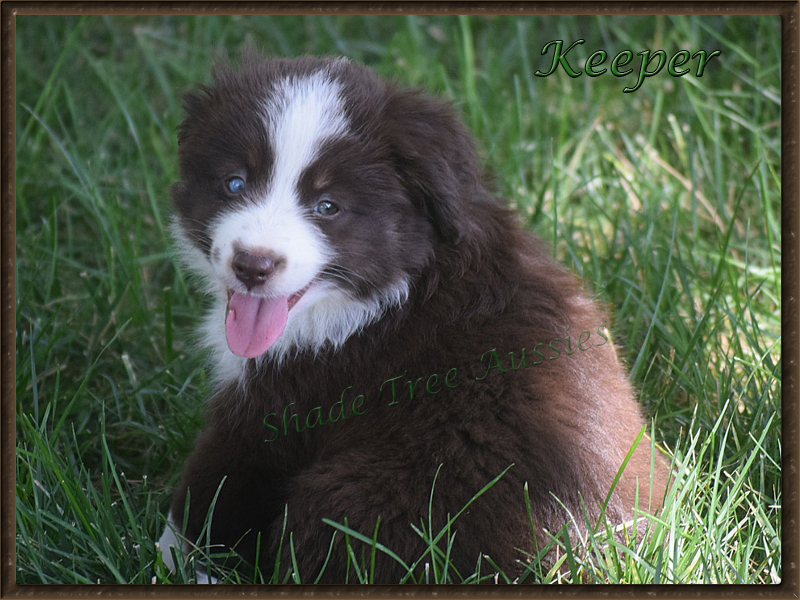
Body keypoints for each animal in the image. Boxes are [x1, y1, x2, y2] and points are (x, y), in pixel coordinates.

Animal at [158, 55, 668, 580]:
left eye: (328, 207)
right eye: (234, 183)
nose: (252, 265)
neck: (401, 284)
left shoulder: (278, 406)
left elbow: (218, 481)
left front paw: (172, 556)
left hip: (353, 499)